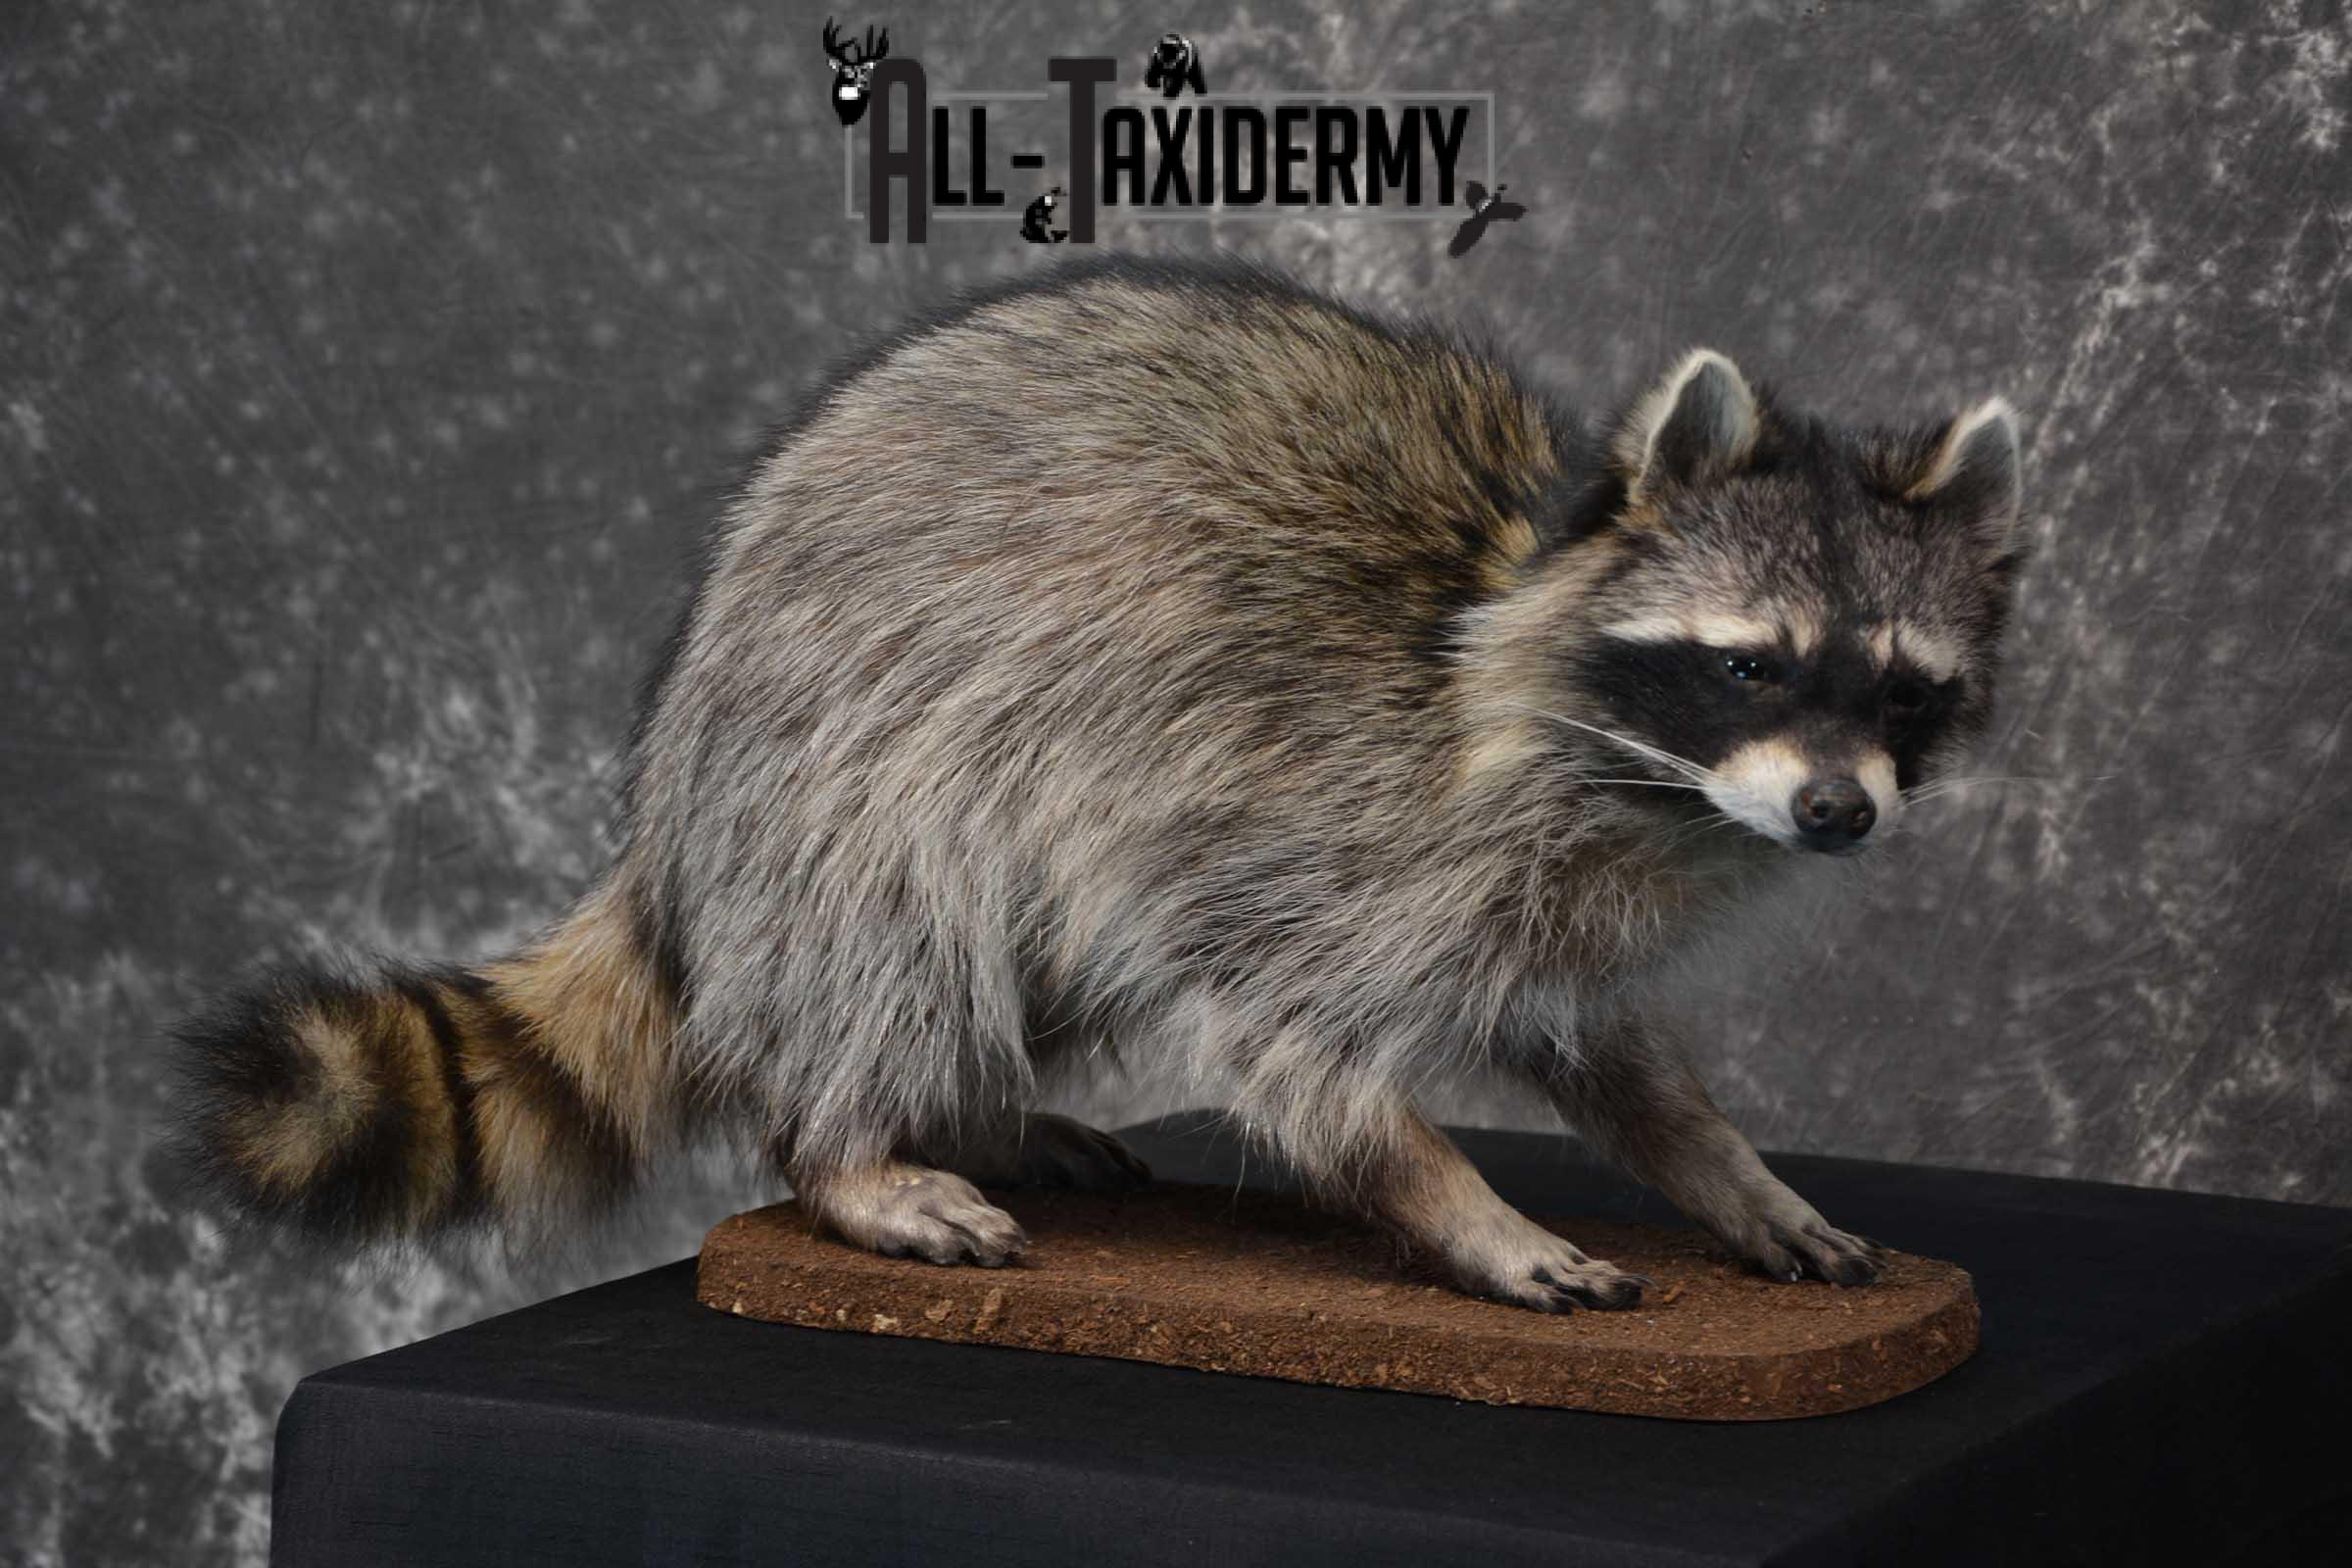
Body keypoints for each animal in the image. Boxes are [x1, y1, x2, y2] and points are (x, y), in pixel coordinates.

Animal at [172, 254, 2026, 1312]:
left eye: (1904, 691)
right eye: (1752, 667)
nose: (1841, 814)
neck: (1641, 778)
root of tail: (672, 808)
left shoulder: (1554, 898)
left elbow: (1606, 1049)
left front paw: (1730, 1173)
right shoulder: (1327, 828)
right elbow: (1295, 1056)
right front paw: (1457, 1202)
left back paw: (972, 1109)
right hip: (850, 768)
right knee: (908, 939)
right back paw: (851, 1145)